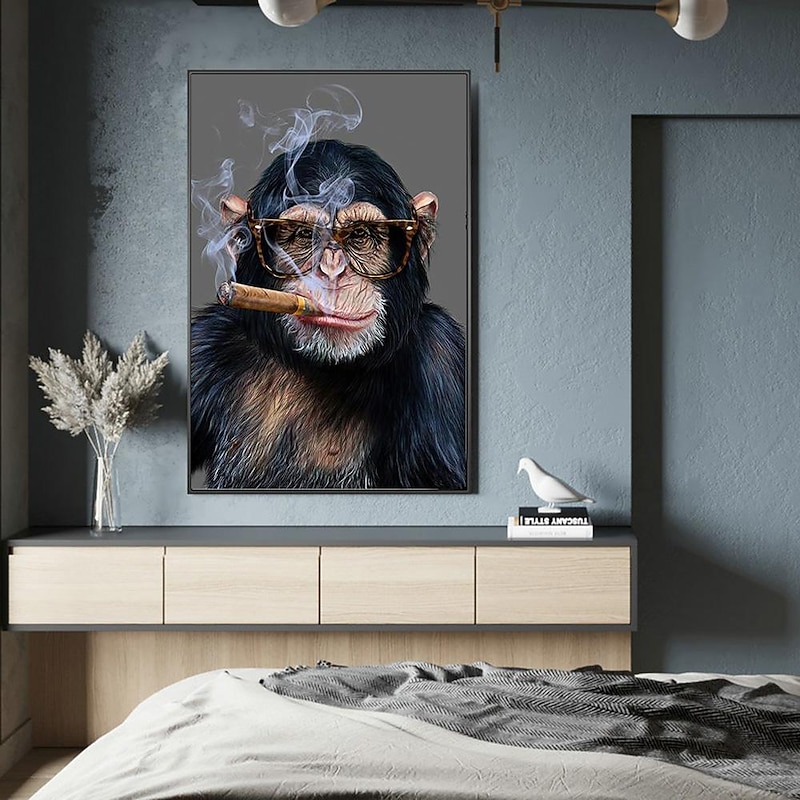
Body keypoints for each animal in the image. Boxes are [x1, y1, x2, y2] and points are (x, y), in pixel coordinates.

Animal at [191, 139, 466, 490]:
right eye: (302, 235)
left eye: (360, 234)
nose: (332, 272)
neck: (326, 369)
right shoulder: (204, 345)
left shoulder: (441, 355)